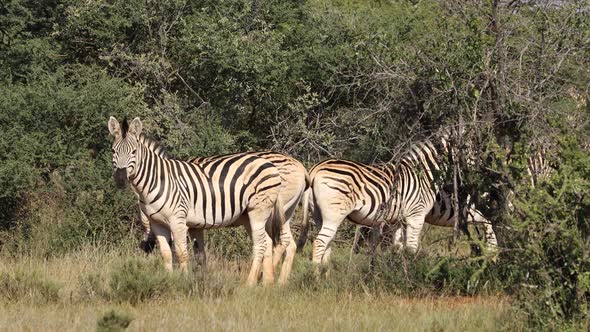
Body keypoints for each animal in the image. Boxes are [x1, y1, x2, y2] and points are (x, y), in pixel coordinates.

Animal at [111, 116, 290, 286]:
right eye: (113, 151)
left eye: (134, 152)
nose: (120, 179)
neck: (157, 180)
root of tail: (268, 163)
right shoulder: (158, 223)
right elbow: (167, 254)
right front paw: (168, 281)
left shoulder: (178, 220)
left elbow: (182, 253)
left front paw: (184, 281)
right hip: (248, 216)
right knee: (267, 242)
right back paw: (267, 283)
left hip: (258, 210)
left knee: (260, 245)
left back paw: (250, 283)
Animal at [138, 152, 310, 284]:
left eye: (143, 220)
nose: (144, 248)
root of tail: (301, 166)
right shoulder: (195, 224)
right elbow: (199, 252)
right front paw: (201, 277)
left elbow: (182, 249)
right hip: (285, 213)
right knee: (288, 243)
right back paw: (279, 280)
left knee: (278, 242)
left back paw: (264, 276)